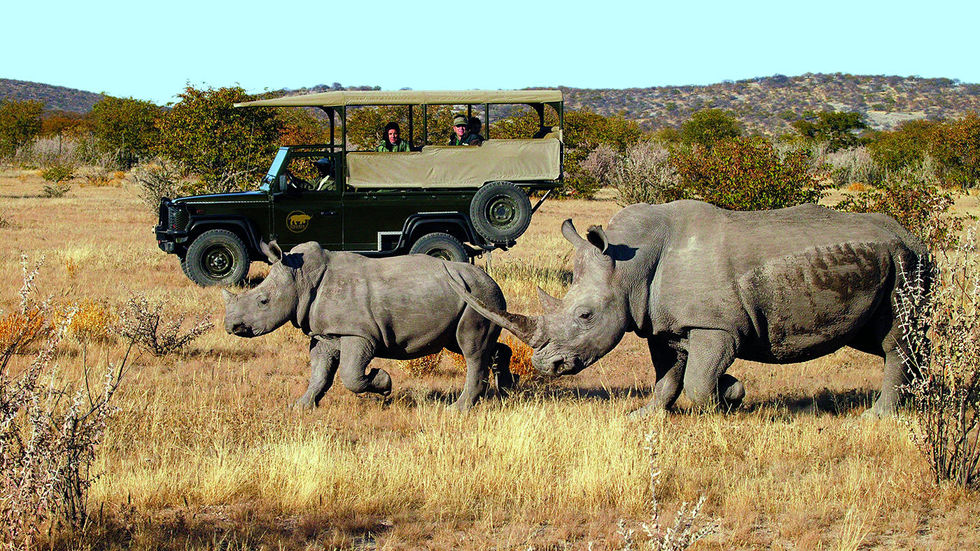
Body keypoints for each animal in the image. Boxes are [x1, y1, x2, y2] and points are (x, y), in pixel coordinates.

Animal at [223, 241, 514, 410]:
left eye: (263, 301)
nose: (231, 326)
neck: (300, 277)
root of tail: (492, 282)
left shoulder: (358, 333)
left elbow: (350, 374)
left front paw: (383, 383)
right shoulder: (326, 334)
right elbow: (319, 372)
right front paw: (300, 406)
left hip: (477, 296)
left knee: (471, 350)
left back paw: (457, 409)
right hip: (473, 297)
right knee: (469, 345)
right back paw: (507, 390)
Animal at [449, 200, 929, 416]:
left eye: (585, 316)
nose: (545, 366)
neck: (630, 265)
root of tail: (912, 234)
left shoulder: (716, 327)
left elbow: (698, 383)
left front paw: (727, 398)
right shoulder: (662, 323)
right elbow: (668, 376)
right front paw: (647, 414)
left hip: (906, 261)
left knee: (894, 340)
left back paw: (878, 416)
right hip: (891, 261)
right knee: (881, 339)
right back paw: (921, 401)